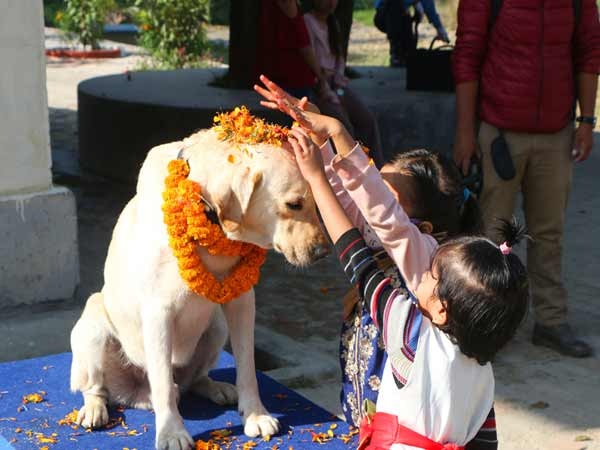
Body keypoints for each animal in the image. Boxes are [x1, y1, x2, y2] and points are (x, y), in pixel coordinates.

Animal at [70, 128, 328, 448]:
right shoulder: (158, 314)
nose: (323, 252)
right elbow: (163, 384)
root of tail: (134, 395)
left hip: (216, 326)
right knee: (98, 387)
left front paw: (255, 415)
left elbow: (248, 367)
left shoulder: (243, 301)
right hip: (92, 327)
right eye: (293, 204)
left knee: (194, 380)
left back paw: (216, 387)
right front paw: (171, 432)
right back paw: (94, 408)